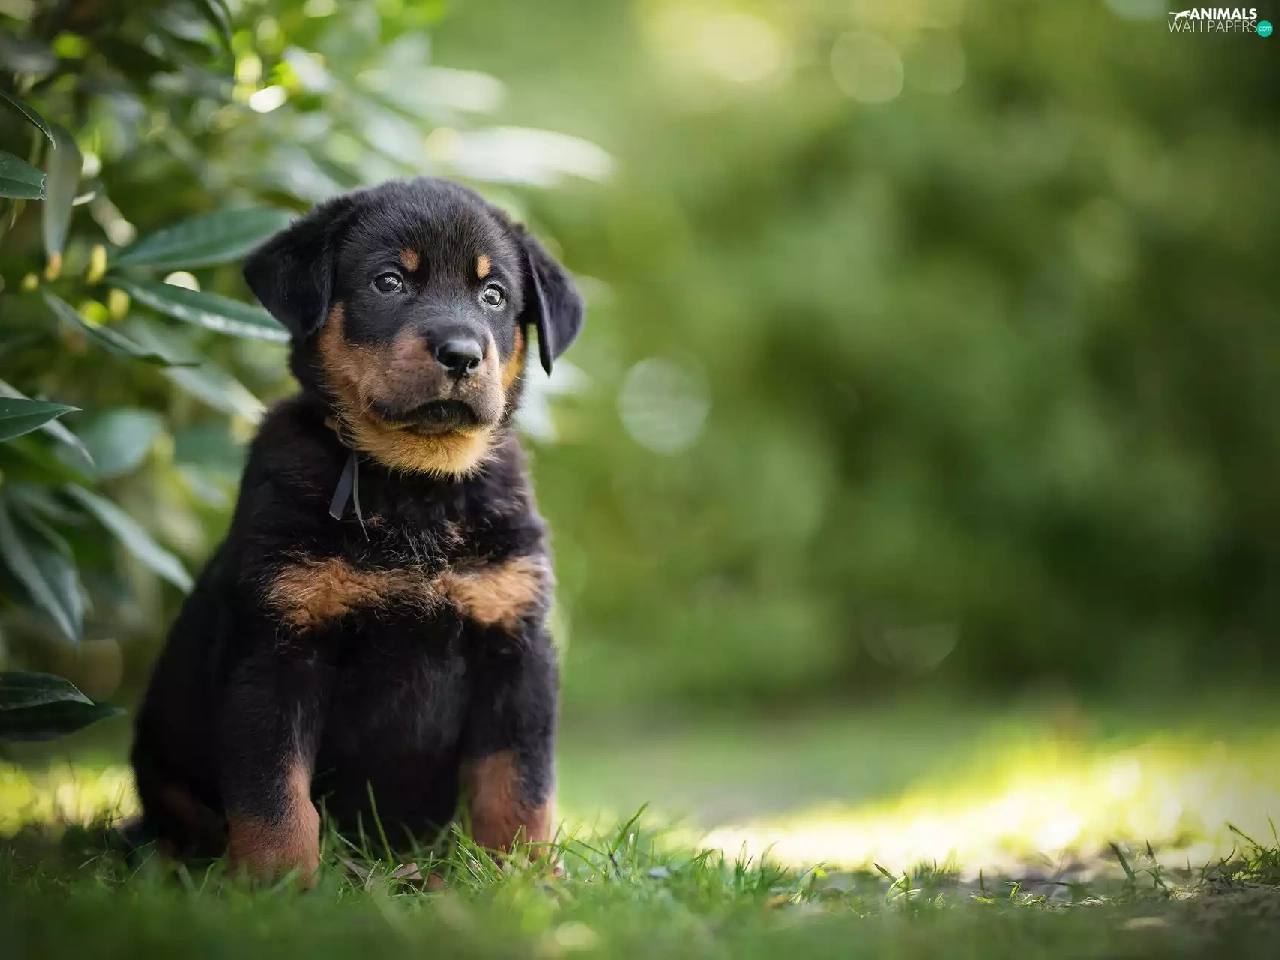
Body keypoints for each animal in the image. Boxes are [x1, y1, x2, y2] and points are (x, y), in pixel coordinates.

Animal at [129, 177, 583, 881]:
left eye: (494, 294)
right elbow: (274, 794)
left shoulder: (516, 646)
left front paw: (527, 879)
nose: (462, 354)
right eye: (388, 282)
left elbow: (519, 784)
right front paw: (278, 887)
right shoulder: (278, 650)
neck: (415, 487)